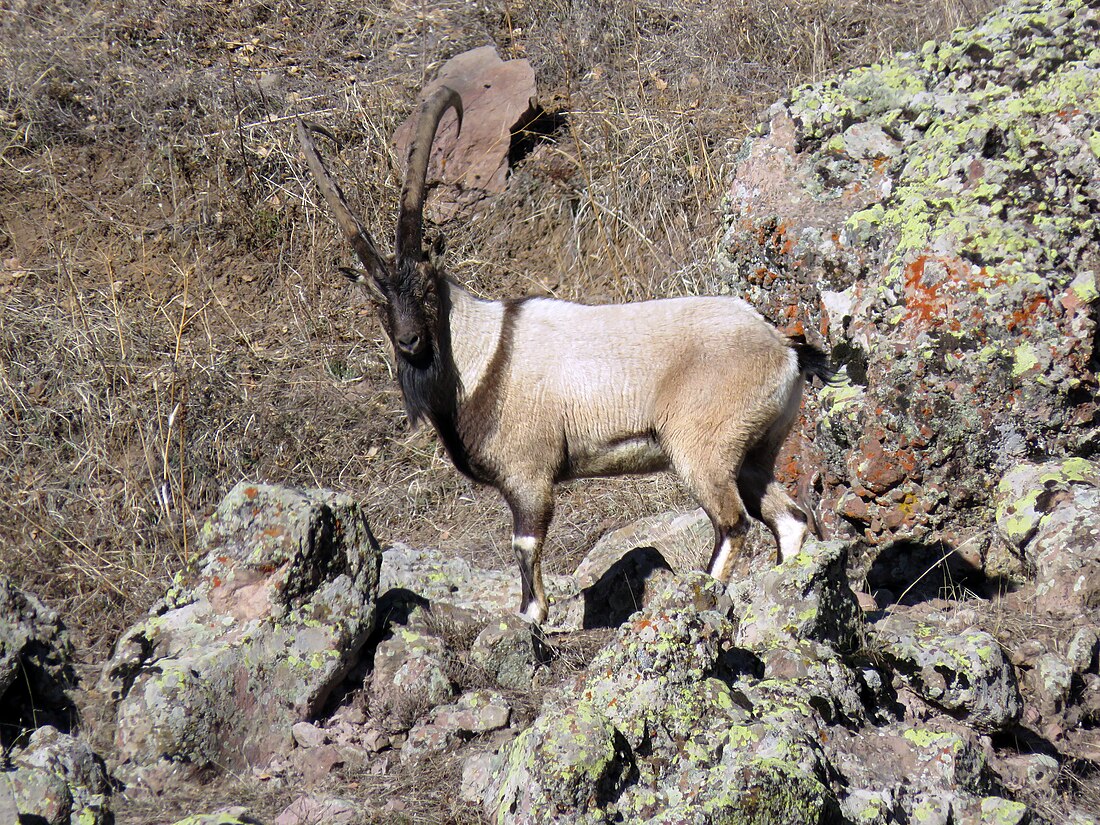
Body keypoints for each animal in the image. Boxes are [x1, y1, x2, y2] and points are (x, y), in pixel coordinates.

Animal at [297, 87, 827, 624]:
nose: (409, 342)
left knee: (733, 523)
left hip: (703, 450)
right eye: (376, 300)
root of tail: (783, 349)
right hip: (757, 452)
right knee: (789, 518)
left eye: (426, 286)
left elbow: (526, 547)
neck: (483, 356)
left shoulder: (528, 476)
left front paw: (531, 619)